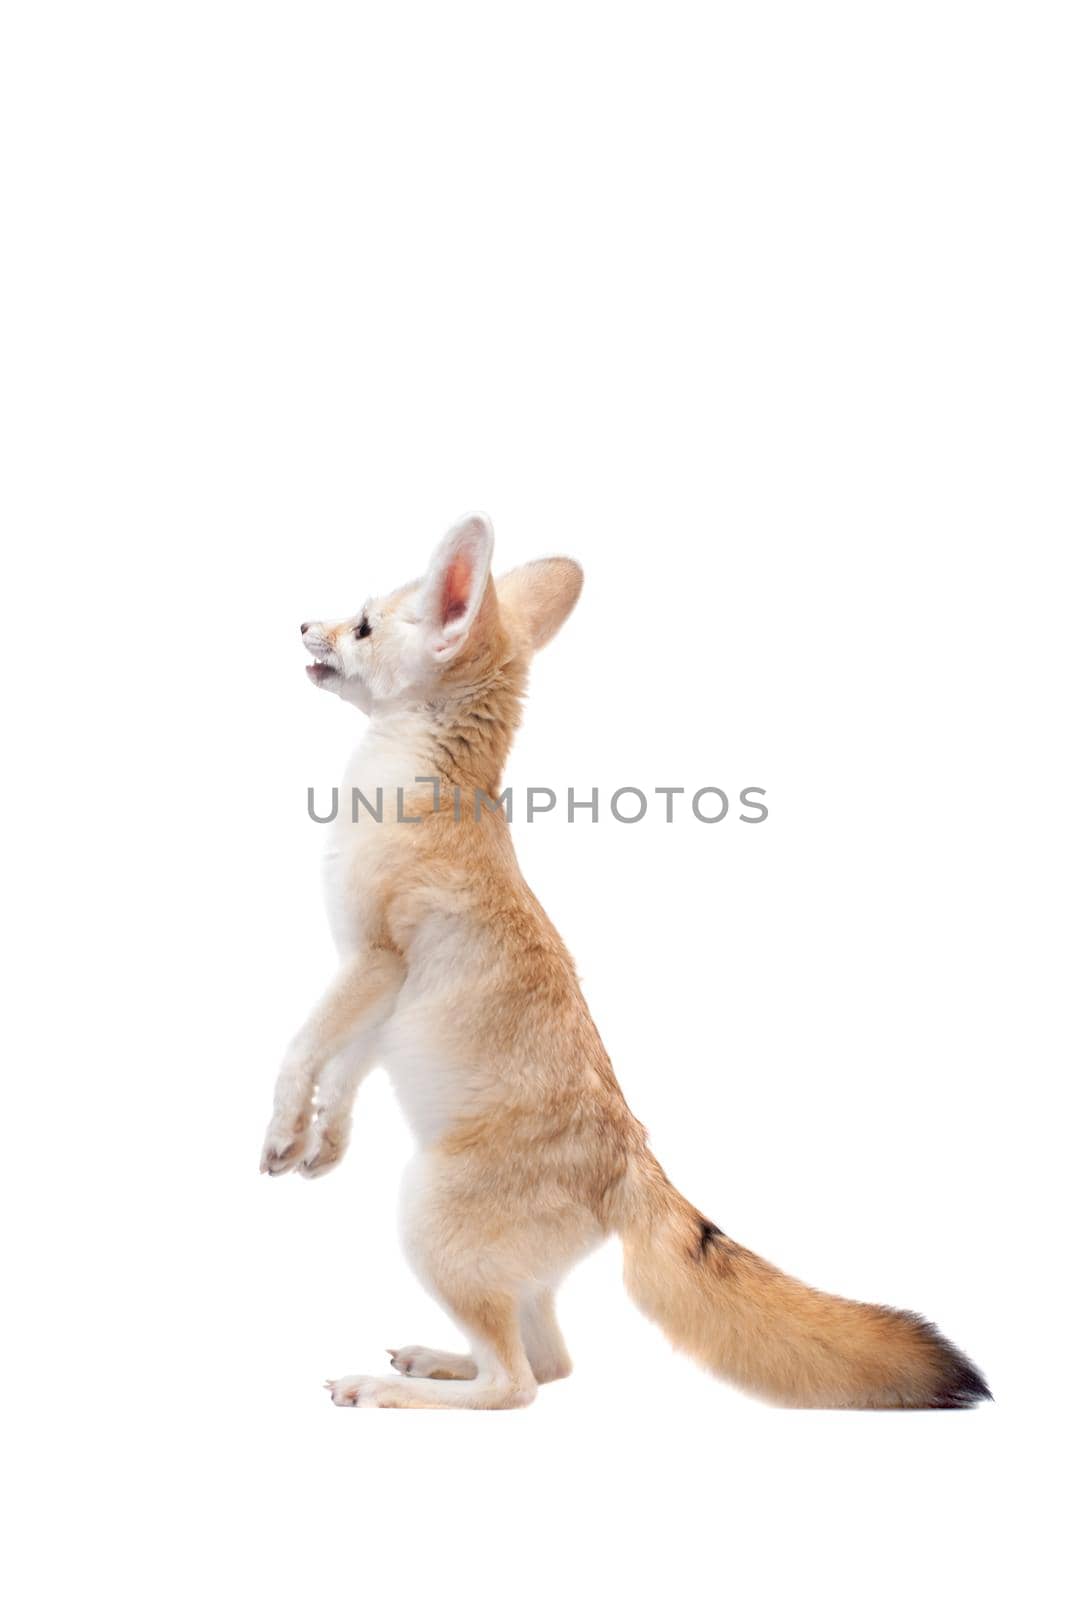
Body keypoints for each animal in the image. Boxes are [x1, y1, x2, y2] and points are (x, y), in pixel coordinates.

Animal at [260, 512, 991, 1414]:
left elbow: (302, 1052)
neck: (414, 781)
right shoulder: (371, 981)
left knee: (518, 1387)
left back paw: (397, 1391)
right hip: (492, 1269)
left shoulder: (374, 959)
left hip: (427, 1222)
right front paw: (322, 1144)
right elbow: (344, 1073)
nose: (302, 623)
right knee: (550, 1364)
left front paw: (279, 1132)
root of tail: (636, 1166)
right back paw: (435, 1359)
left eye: (361, 625)